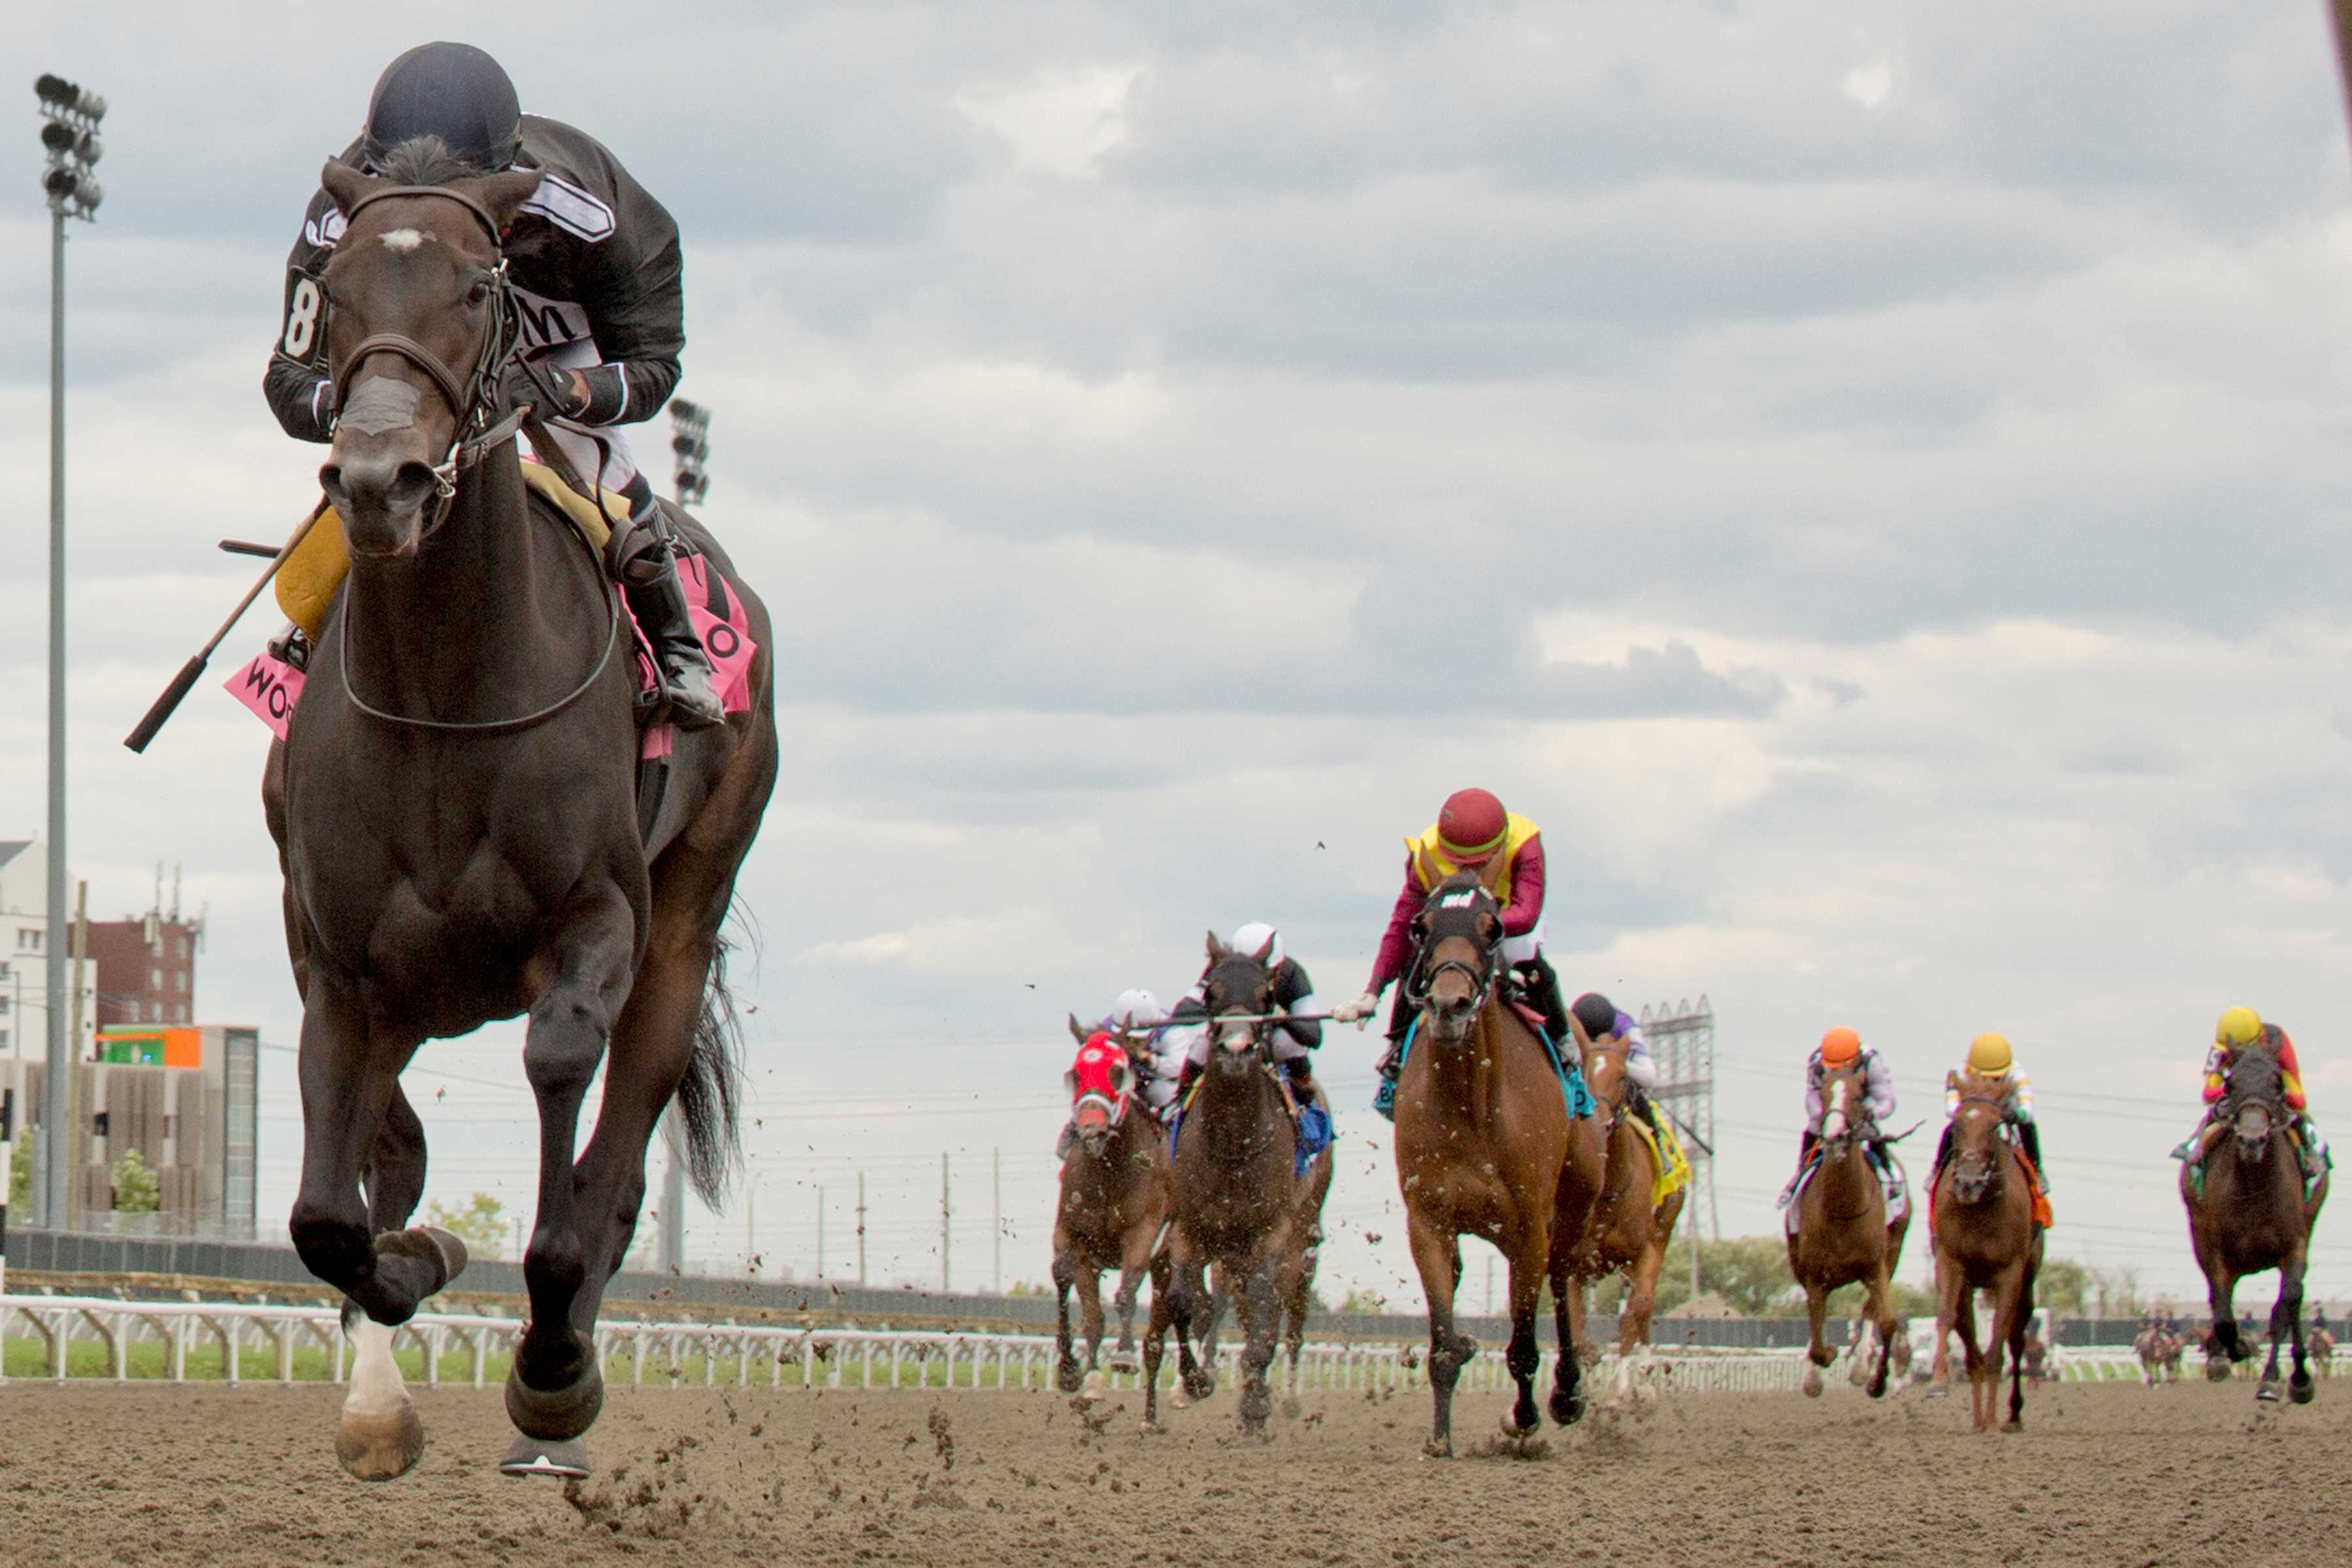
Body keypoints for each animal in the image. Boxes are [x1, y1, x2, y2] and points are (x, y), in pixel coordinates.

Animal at [253, 129, 776, 1476]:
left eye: (479, 288)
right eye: (331, 297)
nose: (381, 479)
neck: (446, 690)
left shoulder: (598, 919)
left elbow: (560, 1073)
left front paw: (548, 1362)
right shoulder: (339, 963)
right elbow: (331, 1214)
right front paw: (412, 1280)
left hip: (687, 919)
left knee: (622, 1151)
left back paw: (559, 1375)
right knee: (393, 1150)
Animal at [1058, 1020, 1176, 1401]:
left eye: (1118, 1071)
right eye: (1076, 1074)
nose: (1091, 1128)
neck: (1109, 1174)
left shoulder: (1142, 1231)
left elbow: (1125, 1294)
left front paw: (1124, 1355)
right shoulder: (1076, 1238)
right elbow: (1091, 1313)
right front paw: (1085, 1375)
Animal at [1143, 930, 1335, 1439]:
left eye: (1267, 996)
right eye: (1211, 992)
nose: (1234, 1049)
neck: (1232, 1142)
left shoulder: (1273, 1233)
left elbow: (1265, 1315)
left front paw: (1254, 1406)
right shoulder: (1190, 1229)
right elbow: (1184, 1302)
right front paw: (1194, 1381)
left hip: (1295, 1242)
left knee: (1279, 1317)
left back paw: (1269, 1403)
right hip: (1230, 1250)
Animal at [1382, 870, 1609, 1457]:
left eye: (1492, 929)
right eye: (1422, 927)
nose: (1449, 1006)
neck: (1470, 1107)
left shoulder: (1529, 1226)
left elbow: (1525, 1343)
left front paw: (1524, 1419)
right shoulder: (1430, 1223)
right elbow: (1441, 1341)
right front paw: (1440, 1439)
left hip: (1571, 1208)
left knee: (1563, 1281)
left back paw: (1566, 1394)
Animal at [2173, 1011, 2323, 1401]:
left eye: (2276, 1081)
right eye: (2231, 1081)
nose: (2253, 1138)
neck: (2253, 1190)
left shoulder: (2294, 1246)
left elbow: (2286, 1305)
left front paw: (2277, 1379)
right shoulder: (2216, 1252)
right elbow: (2225, 1314)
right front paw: (2233, 1351)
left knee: (2292, 1302)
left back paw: (2296, 1377)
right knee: (2217, 1300)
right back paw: (2220, 1355)